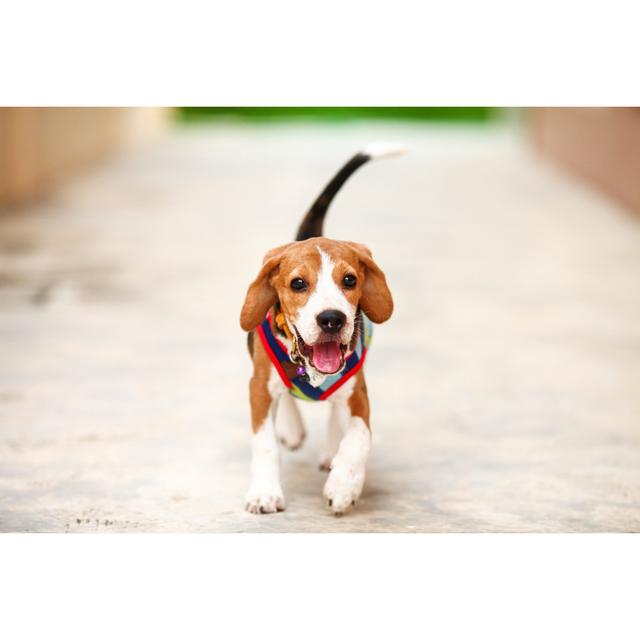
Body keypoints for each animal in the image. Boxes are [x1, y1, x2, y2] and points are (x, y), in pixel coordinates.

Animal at [242, 145, 402, 516]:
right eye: (298, 283)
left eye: (350, 280)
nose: (331, 319)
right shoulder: (258, 387)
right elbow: (265, 442)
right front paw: (265, 493)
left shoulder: (358, 391)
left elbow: (359, 437)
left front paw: (344, 484)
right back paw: (292, 428)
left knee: (334, 412)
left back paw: (331, 451)